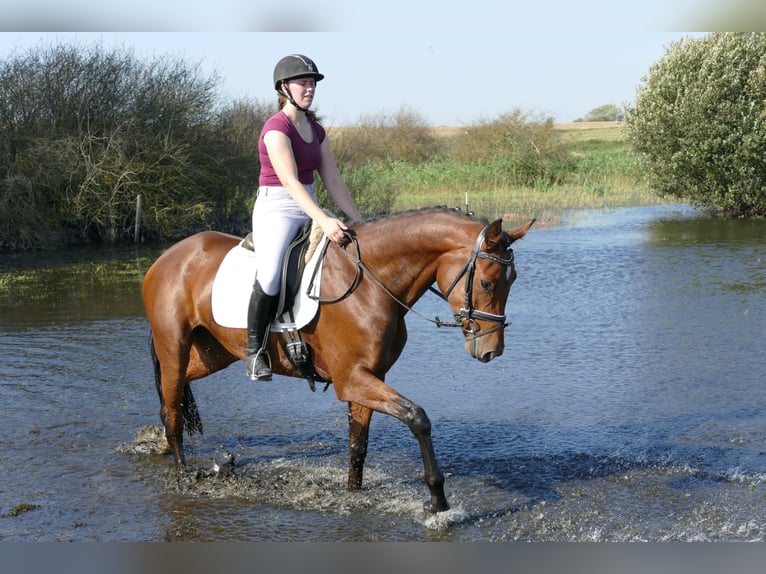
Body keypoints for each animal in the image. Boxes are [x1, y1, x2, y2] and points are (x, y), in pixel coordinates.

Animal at [146, 208, 540, 512]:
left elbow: (357, 446)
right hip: (175, 348)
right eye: (487, 283)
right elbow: (417, 418)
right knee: (173, 410)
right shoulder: (351, 379)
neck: (369, 283)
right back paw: (183, 471)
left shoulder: (368, 377)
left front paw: (354, 492)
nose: (491, 350)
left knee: (173, 396)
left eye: (513, 280)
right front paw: (437, 499)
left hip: (213, 354)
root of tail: (166, 257)